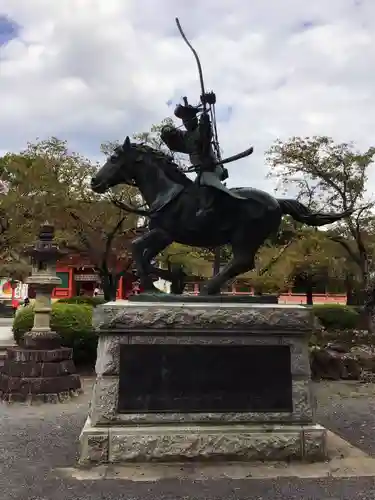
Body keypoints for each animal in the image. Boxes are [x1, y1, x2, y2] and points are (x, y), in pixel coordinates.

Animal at [92, 137, 352, 294]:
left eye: (113, 158)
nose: (95, 182)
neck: (166, 191)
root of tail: (277, 202)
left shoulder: (164, 232)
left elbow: (136, 247)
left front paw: (151, 285)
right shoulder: (164, 236)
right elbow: (145, 255)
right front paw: (162, 279)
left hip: (245, 237)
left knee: (242, 262)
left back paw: (209, 288)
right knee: (241, 263)